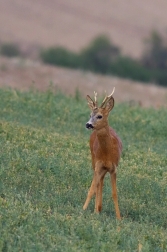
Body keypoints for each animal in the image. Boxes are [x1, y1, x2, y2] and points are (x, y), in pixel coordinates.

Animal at [83, 88, 122, 219]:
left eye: (99, 116)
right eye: (90, 115)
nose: (88, 124)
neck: (107, 153)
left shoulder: (113, 168)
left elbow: (114, 193)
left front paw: (119, 218)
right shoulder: (98, 165)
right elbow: (92, 188)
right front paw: (83, 210)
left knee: (101, 182)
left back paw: (99, 208)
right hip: (94, 160)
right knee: (98, 184)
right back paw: (97, 209)